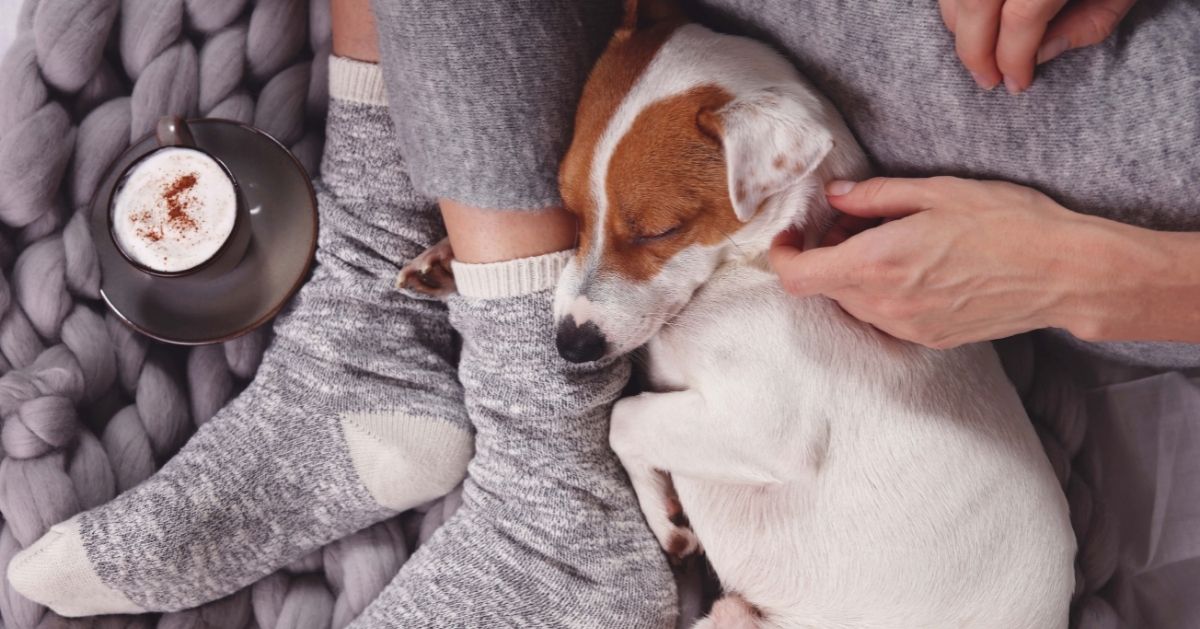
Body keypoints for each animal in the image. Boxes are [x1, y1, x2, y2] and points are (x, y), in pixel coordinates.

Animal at [549, 1, 1075, 629]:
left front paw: (663, 514)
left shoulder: (765, 427)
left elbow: (623, 417)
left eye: (660, 230)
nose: (570, 344)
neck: (750, 266)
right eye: (570, 209)